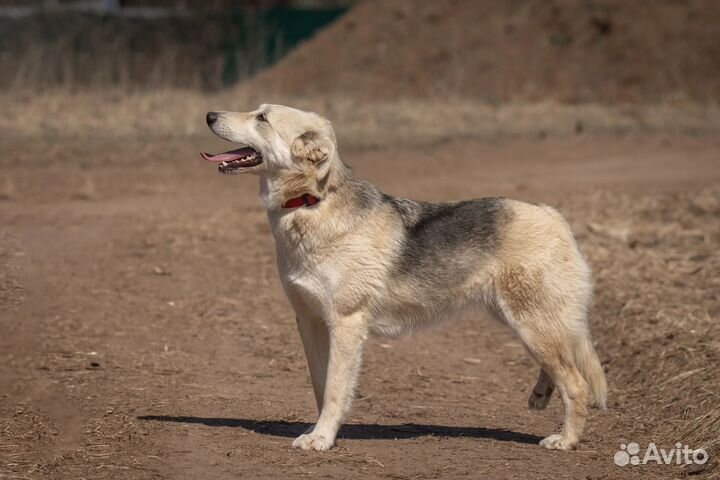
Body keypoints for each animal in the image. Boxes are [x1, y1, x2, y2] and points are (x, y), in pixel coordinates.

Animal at [200, 103, 604, 452]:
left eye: (262, 118)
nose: (209, 115)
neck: (311, 203)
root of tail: (554, 216)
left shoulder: (345, 324)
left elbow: (335, 388)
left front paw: (322, 438)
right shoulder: (309, 321)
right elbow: (320, 384)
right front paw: (320, 431)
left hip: (531, 323)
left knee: (576, 383)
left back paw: (566, 440)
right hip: (522, 321)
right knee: (560, 366)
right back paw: (540, 396)